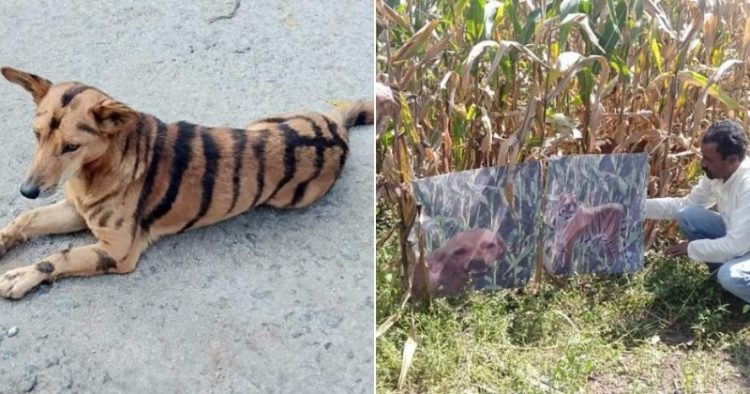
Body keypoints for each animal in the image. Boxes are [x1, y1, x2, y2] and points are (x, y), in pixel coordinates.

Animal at [0, 67, 374, 298]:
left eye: (71, 147)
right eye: (36, 135)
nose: (27, 191)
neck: (94, 170)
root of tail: (337, 129)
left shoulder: (117, 251)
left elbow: (57, 257)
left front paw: (21, 275)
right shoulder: (75, 210)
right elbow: (25, 219)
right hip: (258, 122)